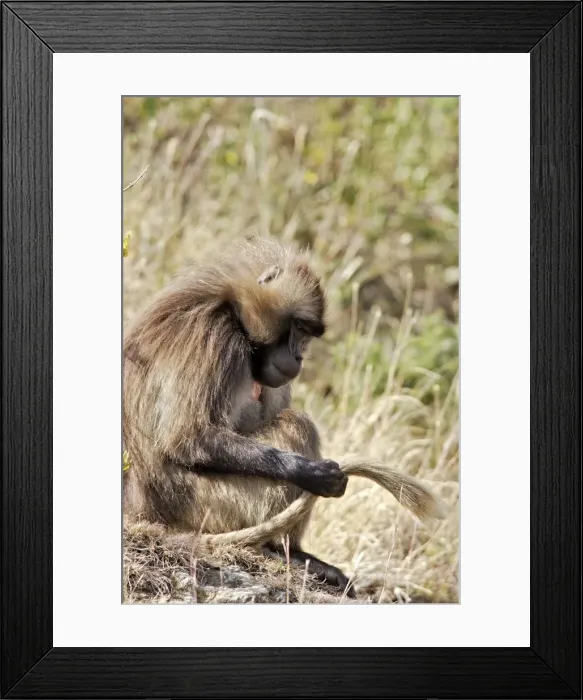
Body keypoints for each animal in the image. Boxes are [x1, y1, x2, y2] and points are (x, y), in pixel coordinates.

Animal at [123, 236, 444, 599]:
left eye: (308, 334)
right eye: (300, 327)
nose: (299, 356)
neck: (235, 312)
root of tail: (140, 510)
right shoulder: (214, 337)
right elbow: (186, 437)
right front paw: (313, 474)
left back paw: (300, 556)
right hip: (205, 505)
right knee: (296, 424)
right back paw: (275, 549)